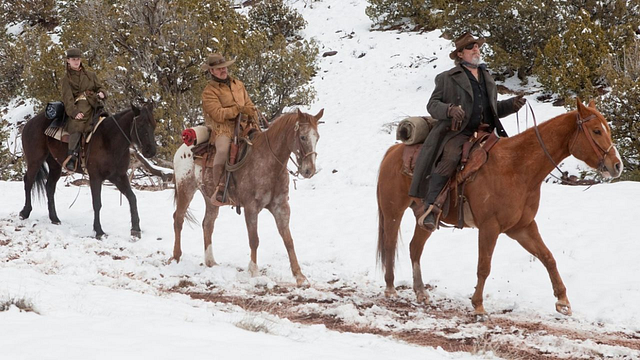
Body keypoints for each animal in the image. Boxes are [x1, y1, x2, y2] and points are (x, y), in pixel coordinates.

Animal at [19, 103, 158, 239]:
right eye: (140, 125)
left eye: (153, 125)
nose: (151, 151)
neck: (109, 140)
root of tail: (29, 123)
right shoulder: (95, 177)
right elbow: (97, 203)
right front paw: (99, 231)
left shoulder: (119, 177)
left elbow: (132, 198)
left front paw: (135, 230)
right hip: (35, 161)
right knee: (28, 181)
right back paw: (24, 212)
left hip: (55, 165)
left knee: (49, 187)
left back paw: (54, 218)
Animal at [172, 108, 322, 286]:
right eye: (303, 137)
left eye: (317, 137)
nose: (309, 170)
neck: (268, 161)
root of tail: (183, 149)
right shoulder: (251, 208)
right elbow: (254, 239)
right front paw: (254, 271)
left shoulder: (281, 207)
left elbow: (288, 240)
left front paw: (299, 276)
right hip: (186, 188)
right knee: (178, 218)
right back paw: (176, 257)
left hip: (210, 199)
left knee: (207, 224)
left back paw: (210, 262)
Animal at [378, 100, 624, 316]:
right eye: (596, 131)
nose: (617, 166)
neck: (516, 167)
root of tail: (392, 151)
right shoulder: (490, 227)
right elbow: (484, 266)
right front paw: (478, 306)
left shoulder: (522, 227)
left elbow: (548, 257)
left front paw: (563, 301)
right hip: (393, 212)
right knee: (390, 245)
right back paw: (390, 288)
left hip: (425, 218)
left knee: (415, 248)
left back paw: (420, 292)